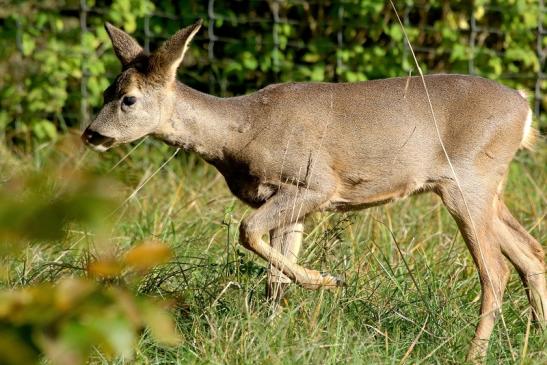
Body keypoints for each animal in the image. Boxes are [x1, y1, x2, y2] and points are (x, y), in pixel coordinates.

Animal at [82, 19, 547, 358]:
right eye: (106, 90)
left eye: (128, 99)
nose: (90, 134)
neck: (240, 133)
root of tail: (524, 107)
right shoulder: (286, 201)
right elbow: (275, 275)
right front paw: (270, 331)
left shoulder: (314, 183)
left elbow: (247, 231)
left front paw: (326, 280)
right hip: (487, 188)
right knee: (531, 254)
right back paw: (538, 339)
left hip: (467, 181)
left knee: (496, 270)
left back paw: (474, 354)